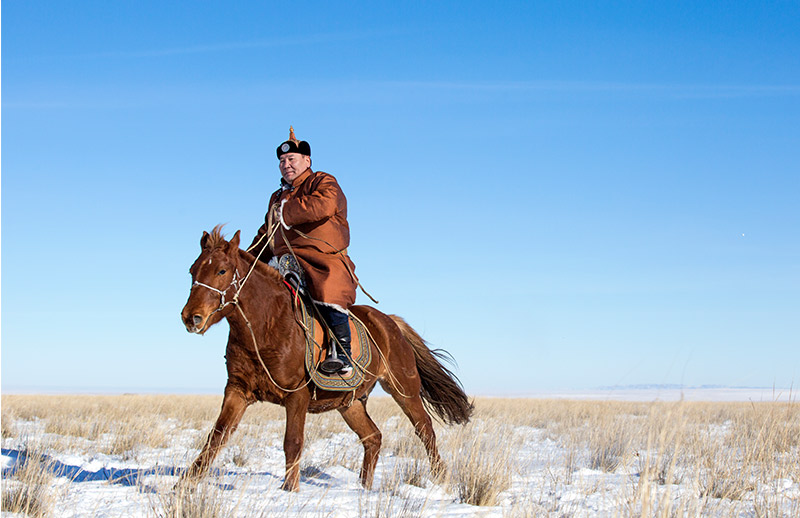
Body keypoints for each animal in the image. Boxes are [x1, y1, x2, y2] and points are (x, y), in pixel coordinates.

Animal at [178, 226, 472, 492]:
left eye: (222, 271)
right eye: (193, 271)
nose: (191, 317)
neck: (268, 324)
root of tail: (390, 323)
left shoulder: (297, 395)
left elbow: (292, 442)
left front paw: (289, 491)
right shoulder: (238, 390)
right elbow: (217, 436)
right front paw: (185, 483)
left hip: (404, 390)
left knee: (425, 429)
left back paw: (439, 477)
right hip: (350, 404)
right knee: (373, 437)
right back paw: (364, 488)